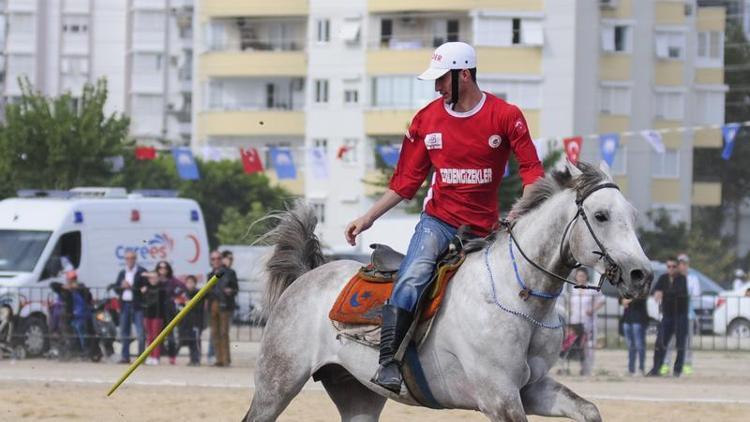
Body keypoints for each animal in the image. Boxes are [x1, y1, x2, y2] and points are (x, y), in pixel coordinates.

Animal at [245, 160, 652, 420]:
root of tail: (307, 277)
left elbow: (589, 410)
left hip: (356, 394)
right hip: (277, 384)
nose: (641, 274)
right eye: (600, 216)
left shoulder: (533, 389)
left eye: (632, 216)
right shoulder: (500, 397)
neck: (517, 296)